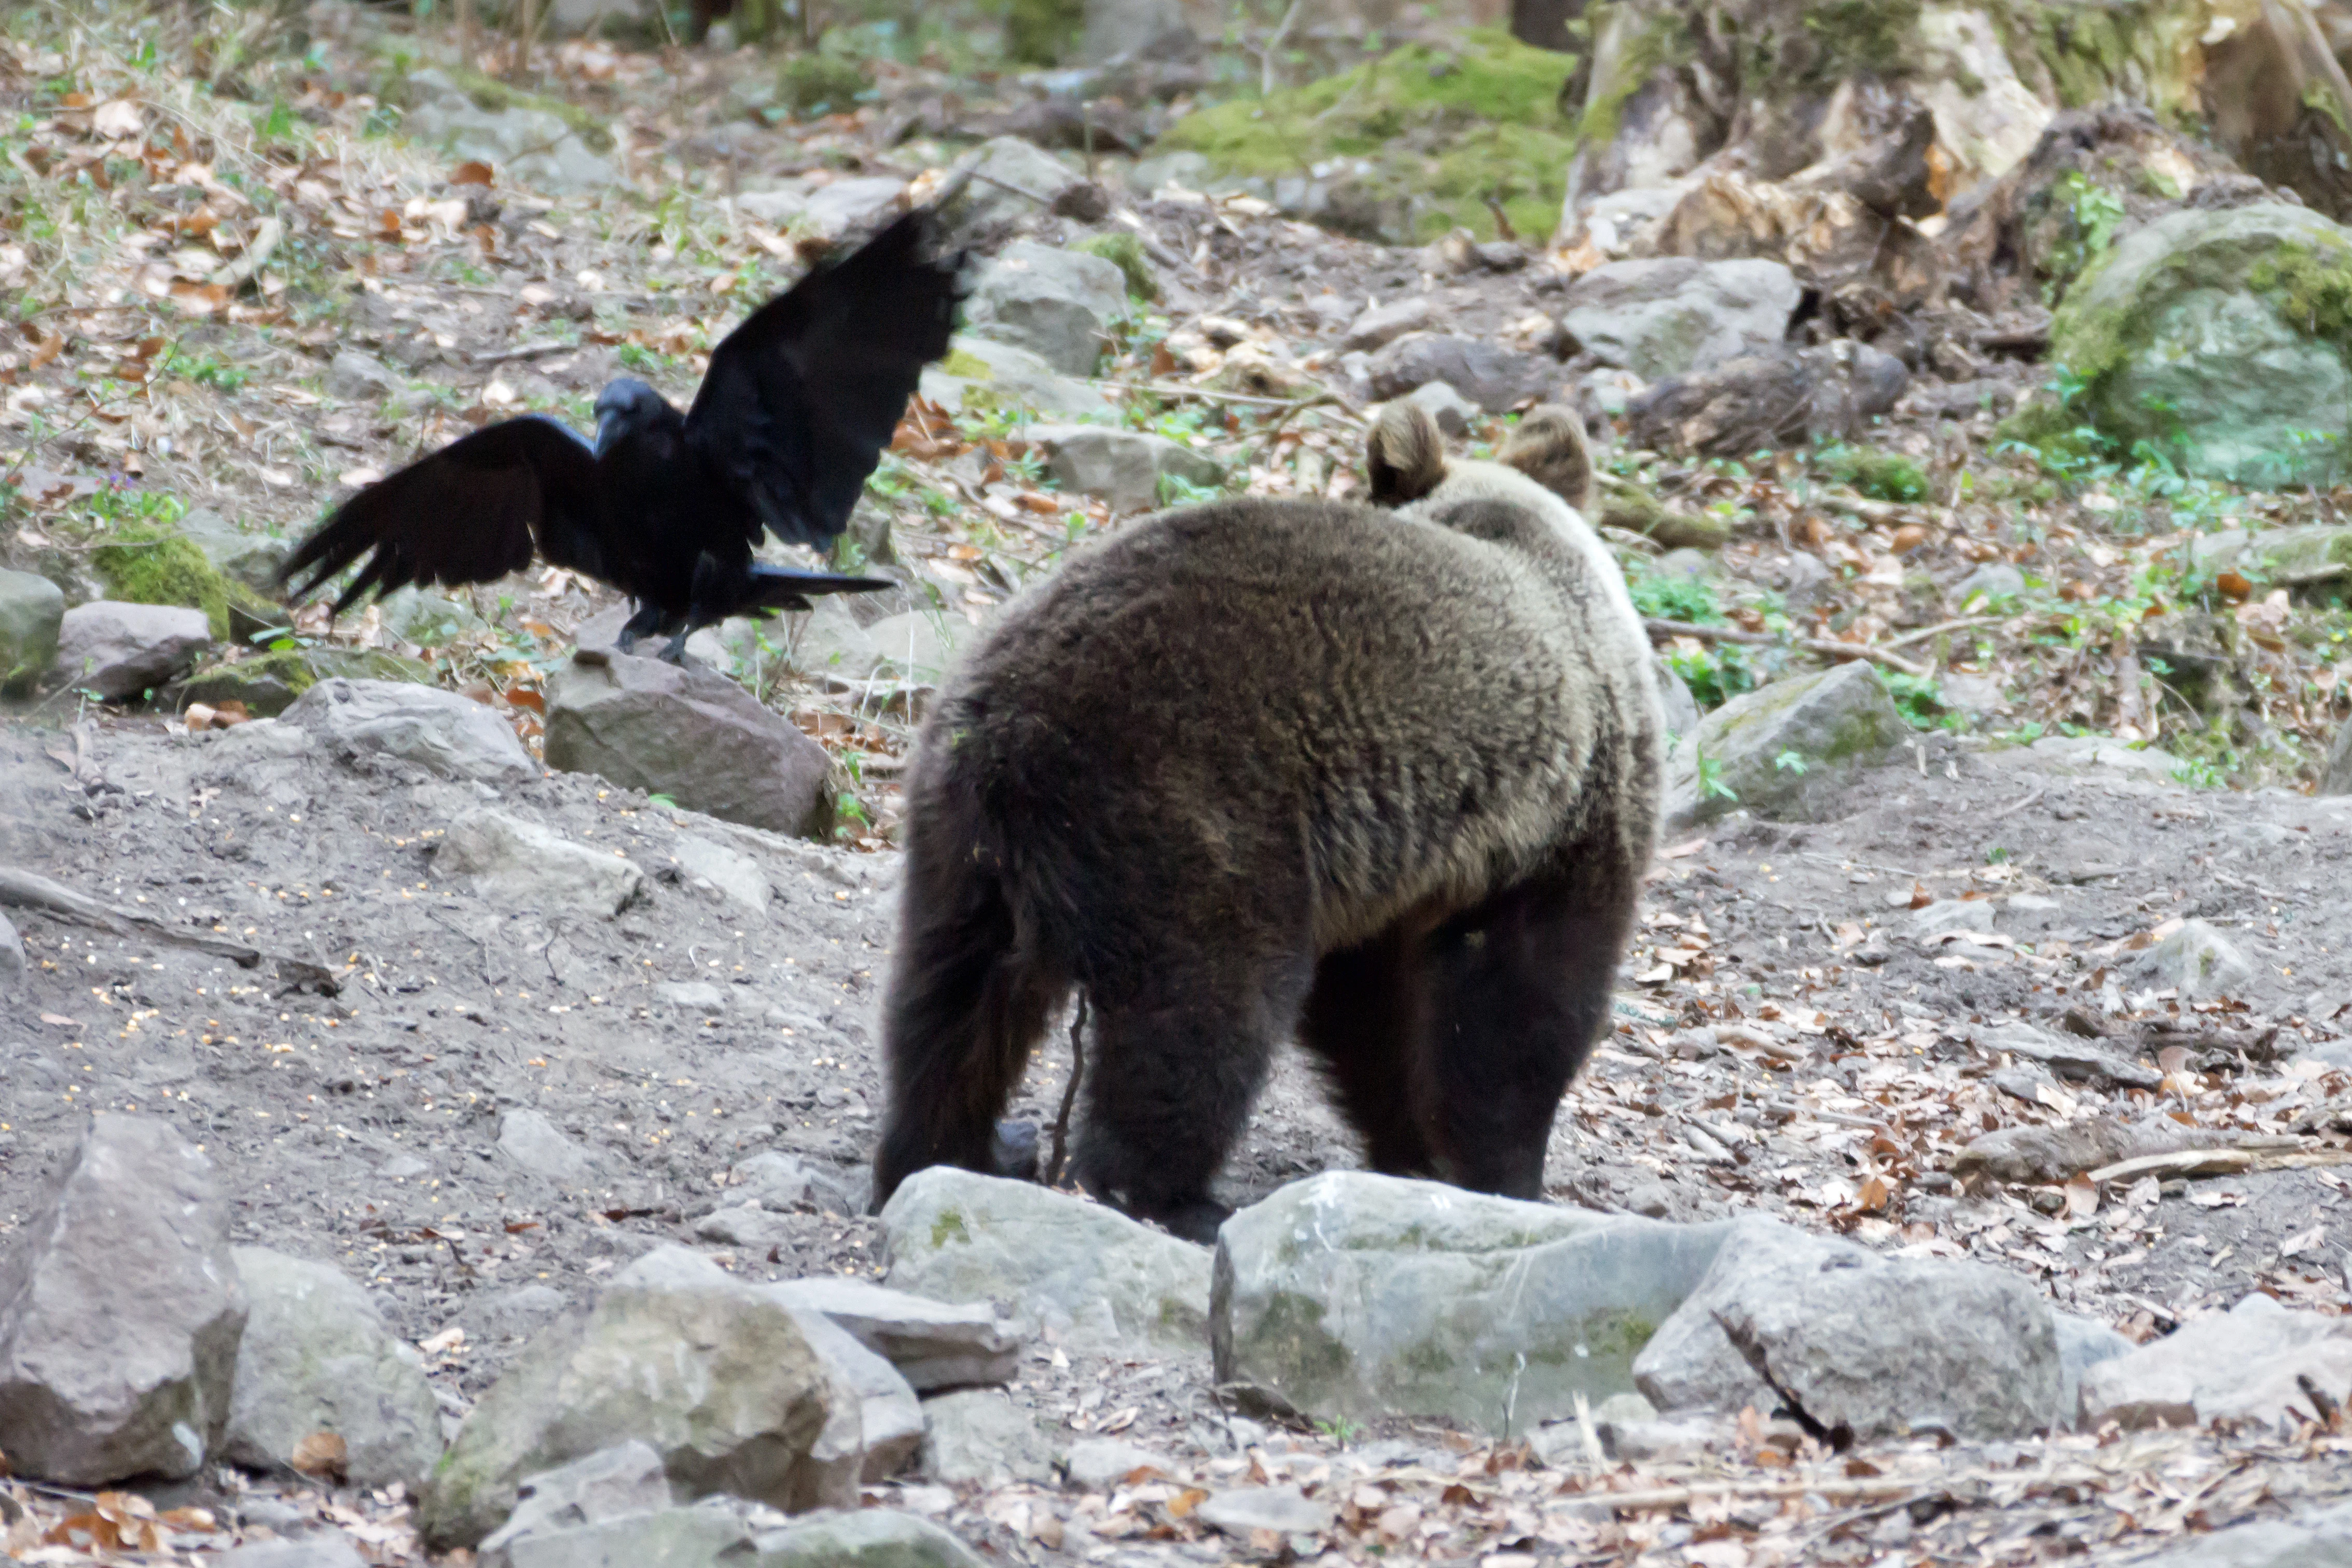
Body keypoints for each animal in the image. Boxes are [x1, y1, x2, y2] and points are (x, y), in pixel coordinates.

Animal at [869, 400, 1663, 1242]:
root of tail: (1013, 734)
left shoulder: (1396, 865)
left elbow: (1371, 1011)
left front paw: (1417, 1151)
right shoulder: (1550, 825)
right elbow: (1519, 1004)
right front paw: (1501, 1171)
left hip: (957, 829)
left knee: (949, 1000)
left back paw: (960, 1148)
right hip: (1186, 806)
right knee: (1207, 1005)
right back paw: (1173, 1195)